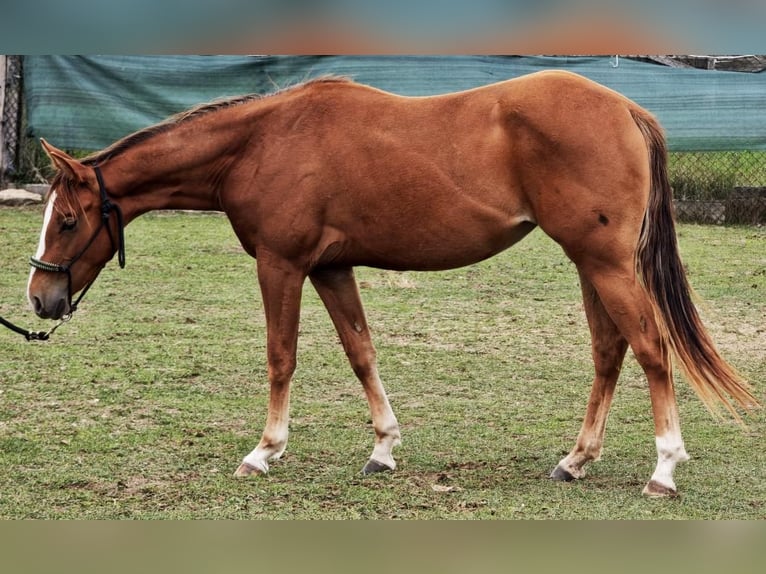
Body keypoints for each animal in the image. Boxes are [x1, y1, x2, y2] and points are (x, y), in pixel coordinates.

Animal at [27, 70, 758, 497]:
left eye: (67, 220)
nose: (40, 298)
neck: (262, 141)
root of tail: (629, 108)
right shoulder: (330, 268)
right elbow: (361, 353)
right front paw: (382, 449)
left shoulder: (281, 265)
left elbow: (281, 357)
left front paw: (265, 451)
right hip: (589, 263)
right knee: (610, 352)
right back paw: (576, 460)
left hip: (605, 263)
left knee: (651, 350)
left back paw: (664, 468)